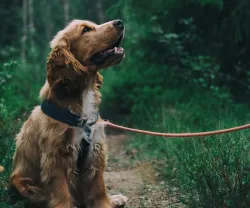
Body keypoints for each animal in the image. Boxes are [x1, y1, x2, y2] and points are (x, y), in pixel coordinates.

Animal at [9, 19, 127, 208]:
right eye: (85, 30)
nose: (120, 22)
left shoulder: (95, 150)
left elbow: (98, 188)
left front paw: (106, 203)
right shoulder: (56, 157)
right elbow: (61, 193)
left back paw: (115, 199)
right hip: (25, 185)